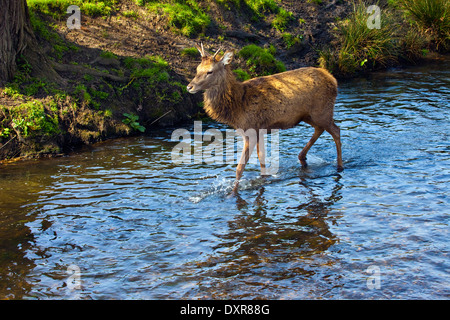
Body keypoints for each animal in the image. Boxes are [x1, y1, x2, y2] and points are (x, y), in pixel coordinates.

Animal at [185, 43, 342, 194]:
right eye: (197, 69)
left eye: (210, 71)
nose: (189, 87)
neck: (236, 106)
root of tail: (333, 79)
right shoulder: (259, 130)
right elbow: (262, 159)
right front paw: (264, 178)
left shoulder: (250, 129)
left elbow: (240, 168)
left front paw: (232, 192)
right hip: (308, 115)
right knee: (320, 129)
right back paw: (302, 157)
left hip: (322, 111)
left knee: (336, 130)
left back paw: (339, 166)